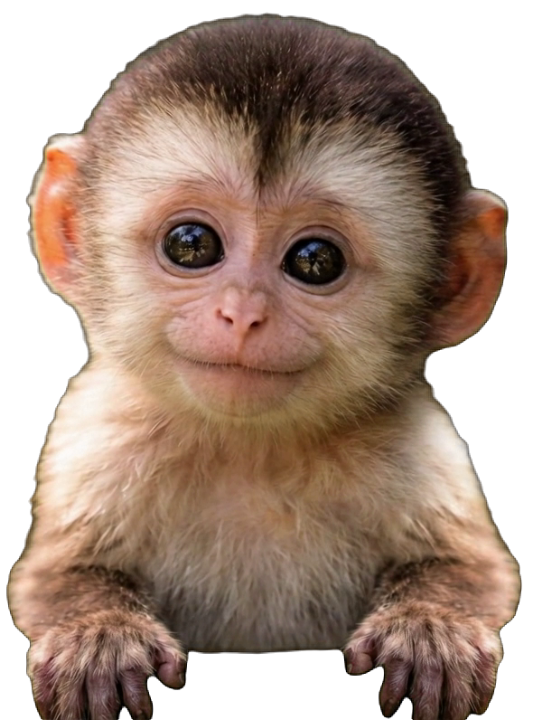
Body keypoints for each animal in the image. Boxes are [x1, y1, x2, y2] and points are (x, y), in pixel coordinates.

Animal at [6, 15, 520, 720]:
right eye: (191, 245)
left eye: (315, 260)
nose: (243, 314)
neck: (252, 449)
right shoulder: (96, 436)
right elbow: (46, 579)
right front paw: (99, 636)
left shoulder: (417, 444)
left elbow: (480, 572)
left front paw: (429, 629)